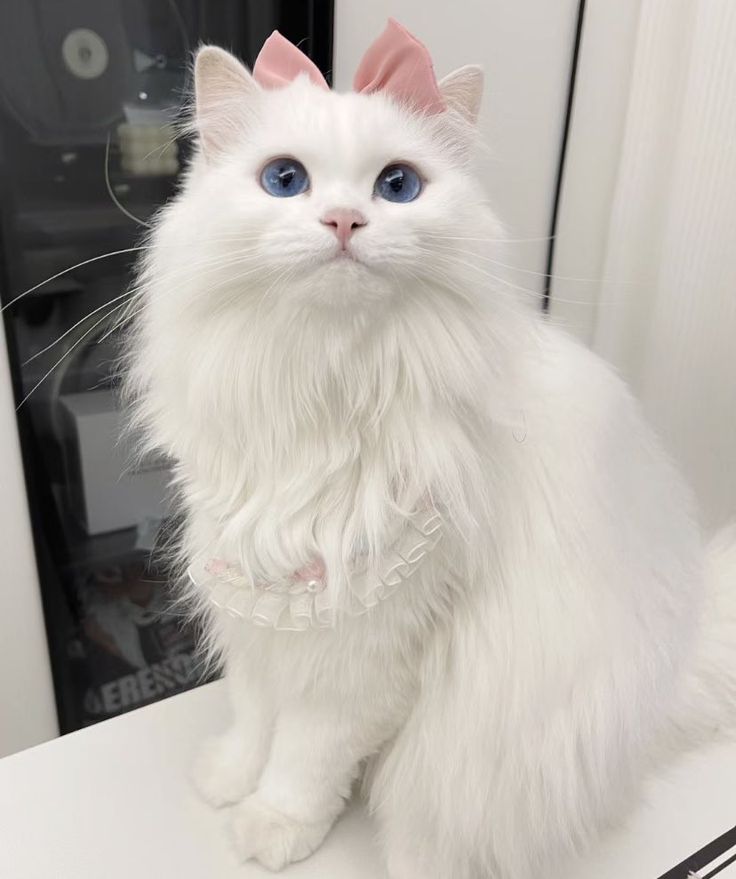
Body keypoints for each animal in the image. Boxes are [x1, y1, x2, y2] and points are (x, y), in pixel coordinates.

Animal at [126, 20, 736, 879]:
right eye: (285, 179)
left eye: (397, 186)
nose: (344, 220)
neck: (320, 384)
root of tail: (675, 672)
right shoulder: (257, 600)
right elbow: (253, 710)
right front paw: (228, 776)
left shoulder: (362, 650)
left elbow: (304, 756)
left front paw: (273, 823)